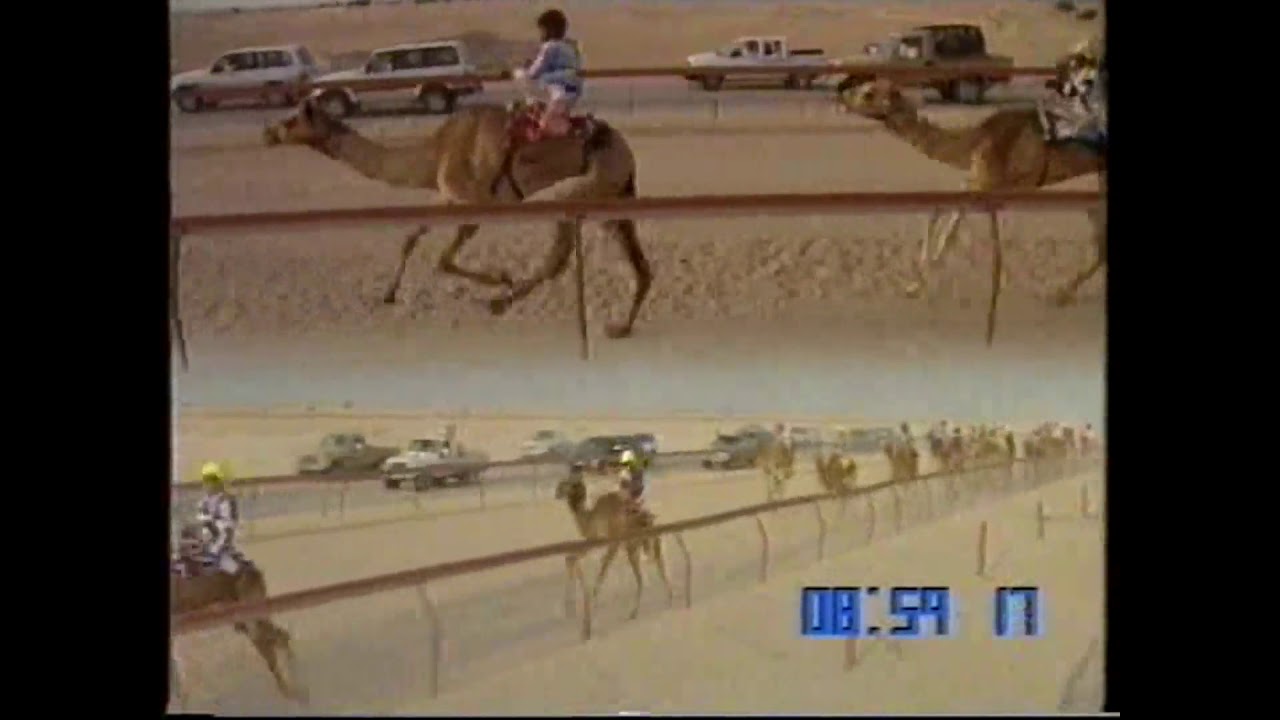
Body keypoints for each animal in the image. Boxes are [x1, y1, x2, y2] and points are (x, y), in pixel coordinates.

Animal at [170, 537, 306, 704]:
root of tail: (253, 569)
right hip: (245, 623)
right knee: (281, 638)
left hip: (251, 622)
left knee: (275, 647)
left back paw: (291, 689)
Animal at [262, 97, 652, 340]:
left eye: (291, 119)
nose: (267, 132)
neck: (434, 153)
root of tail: (625, 149)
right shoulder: (446, 195)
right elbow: (412, 235)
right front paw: (388, 293)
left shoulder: (478, 200)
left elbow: (443, 258)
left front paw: (501, 278)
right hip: (613, 193)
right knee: (635, 260)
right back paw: (621, 326)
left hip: (583, 186)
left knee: (560, 253)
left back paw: (500, 302)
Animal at [554, 475, 673, 620]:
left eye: (567, 483)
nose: (556, 492)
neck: (591, 517)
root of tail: (650, 522)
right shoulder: (604, 542)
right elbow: (572, 558)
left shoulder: (606, 541)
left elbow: (601, 568)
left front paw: (591, 602)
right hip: (654, 544)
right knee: (663, 570)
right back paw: (669, 600)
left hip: (633, 548)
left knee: (642, 580)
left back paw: (634, 612)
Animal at [837, 78, 1106, 345]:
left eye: (869, 93)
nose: (843, 98)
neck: (974, 141)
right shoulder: (978, 183)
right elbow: (938, 212)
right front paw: (915, 284)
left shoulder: (986, 187)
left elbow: (951, 232)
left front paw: (919, 285)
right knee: (1099, 241)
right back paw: (1063, 294)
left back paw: (1061, 294)